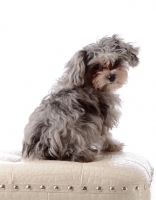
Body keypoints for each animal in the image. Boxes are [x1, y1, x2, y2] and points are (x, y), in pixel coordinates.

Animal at [21, 34, 139, 162]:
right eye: (96, 66)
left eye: (116, 62)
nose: (111, 77)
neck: (90, 83)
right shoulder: (102, 117)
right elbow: (106, 134)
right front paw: (113, 145)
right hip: (83, 126)